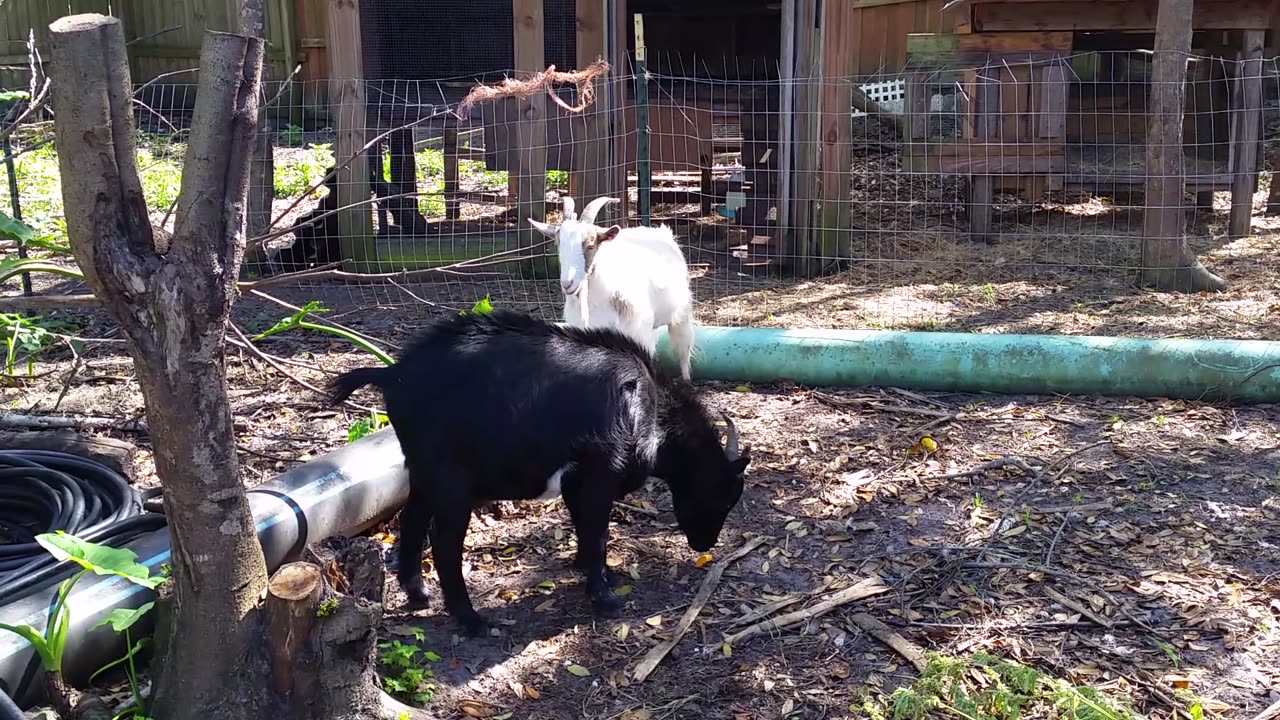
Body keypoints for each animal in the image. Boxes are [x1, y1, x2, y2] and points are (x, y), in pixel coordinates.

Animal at [326, 309, 748, 636]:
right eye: (724, 494)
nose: (705, 545)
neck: (651, 407)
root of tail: (393, 374)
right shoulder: (600, 473)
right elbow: (597, 531)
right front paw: (604, 597)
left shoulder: (578, 481)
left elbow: (584, 528)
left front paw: (594, 572)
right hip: (450, 482)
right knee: (444, 543)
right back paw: (471, 620)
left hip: (422, 474)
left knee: (412, 521)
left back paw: (418, 595)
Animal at [529, 196, 697, 381]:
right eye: (559, 245)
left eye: (591, 245)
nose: (568, 283)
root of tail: (660, 231)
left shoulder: (638, 335)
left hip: (681, 314)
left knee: (683, 347)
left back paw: (686, 380)